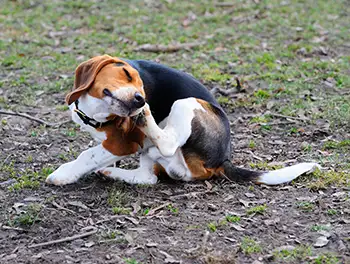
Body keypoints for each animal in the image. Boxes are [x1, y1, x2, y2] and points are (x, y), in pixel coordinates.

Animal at [46, 54, 320, 186]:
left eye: (143, 89)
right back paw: (112, 173)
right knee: (149, 178)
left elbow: (88, 155)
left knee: (168, 146)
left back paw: (146, 120)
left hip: (186, 103)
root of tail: (222, 159)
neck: (95, 111)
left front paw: (63, 175)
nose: (140, 100)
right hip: (152, 154)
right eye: (125, 73)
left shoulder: (122, 144)